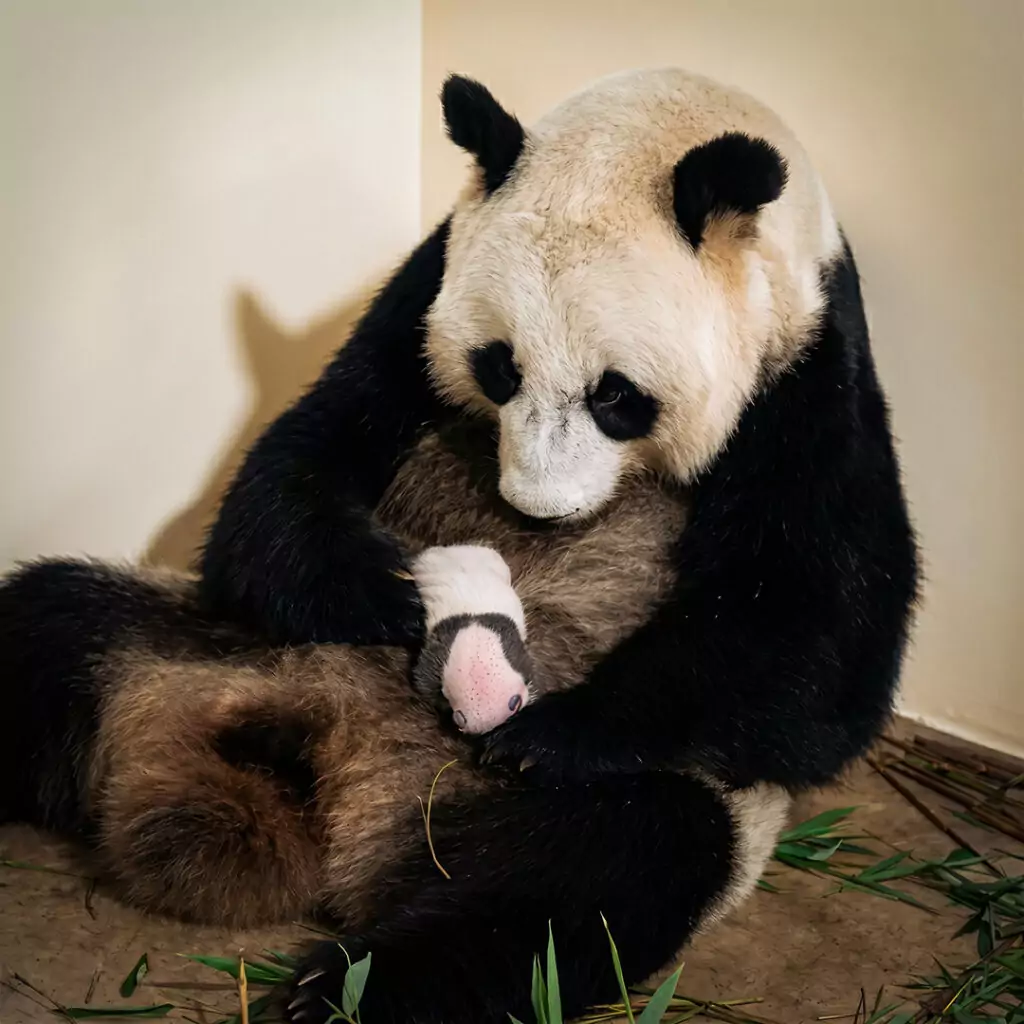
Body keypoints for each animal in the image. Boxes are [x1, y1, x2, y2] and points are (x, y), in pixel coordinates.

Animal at [0, 67, 918, 1024]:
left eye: (617, 396)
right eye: (499, 367)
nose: (537, 511)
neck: (657, 121)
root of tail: (341, 794)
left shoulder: (808, 367)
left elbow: (818, 650)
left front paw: (550, 731)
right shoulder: (420, 297)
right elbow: (285, 477)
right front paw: (392, 591)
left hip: (561, 808)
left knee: (586, 880)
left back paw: (352, 988)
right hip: (204, 646)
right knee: (48, 627)